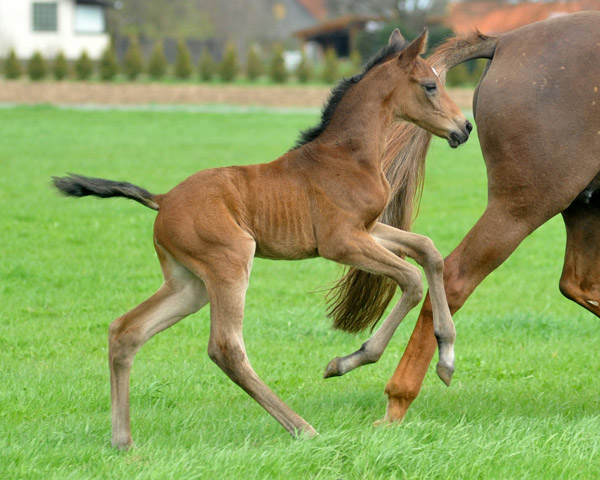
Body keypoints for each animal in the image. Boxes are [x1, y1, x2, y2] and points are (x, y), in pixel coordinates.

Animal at [51, 31, 472, 450]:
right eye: (430, 85)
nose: (464, 127)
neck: (347, 156)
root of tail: (164, 198)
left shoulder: (369, 229)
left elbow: (429, 251)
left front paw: (446, 359)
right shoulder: (341, 242)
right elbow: (411, 279)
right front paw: (347, 361)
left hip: (189, 284)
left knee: (126, 331)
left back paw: (123, 441)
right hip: (231, 263)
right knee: (225, 348)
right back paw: (301, 427)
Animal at [326, 11, 600, 422]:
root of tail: (504, 41)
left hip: (583, 204)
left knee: (578, 284)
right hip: (525, 204)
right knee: (453, 275)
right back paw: (399, 397)